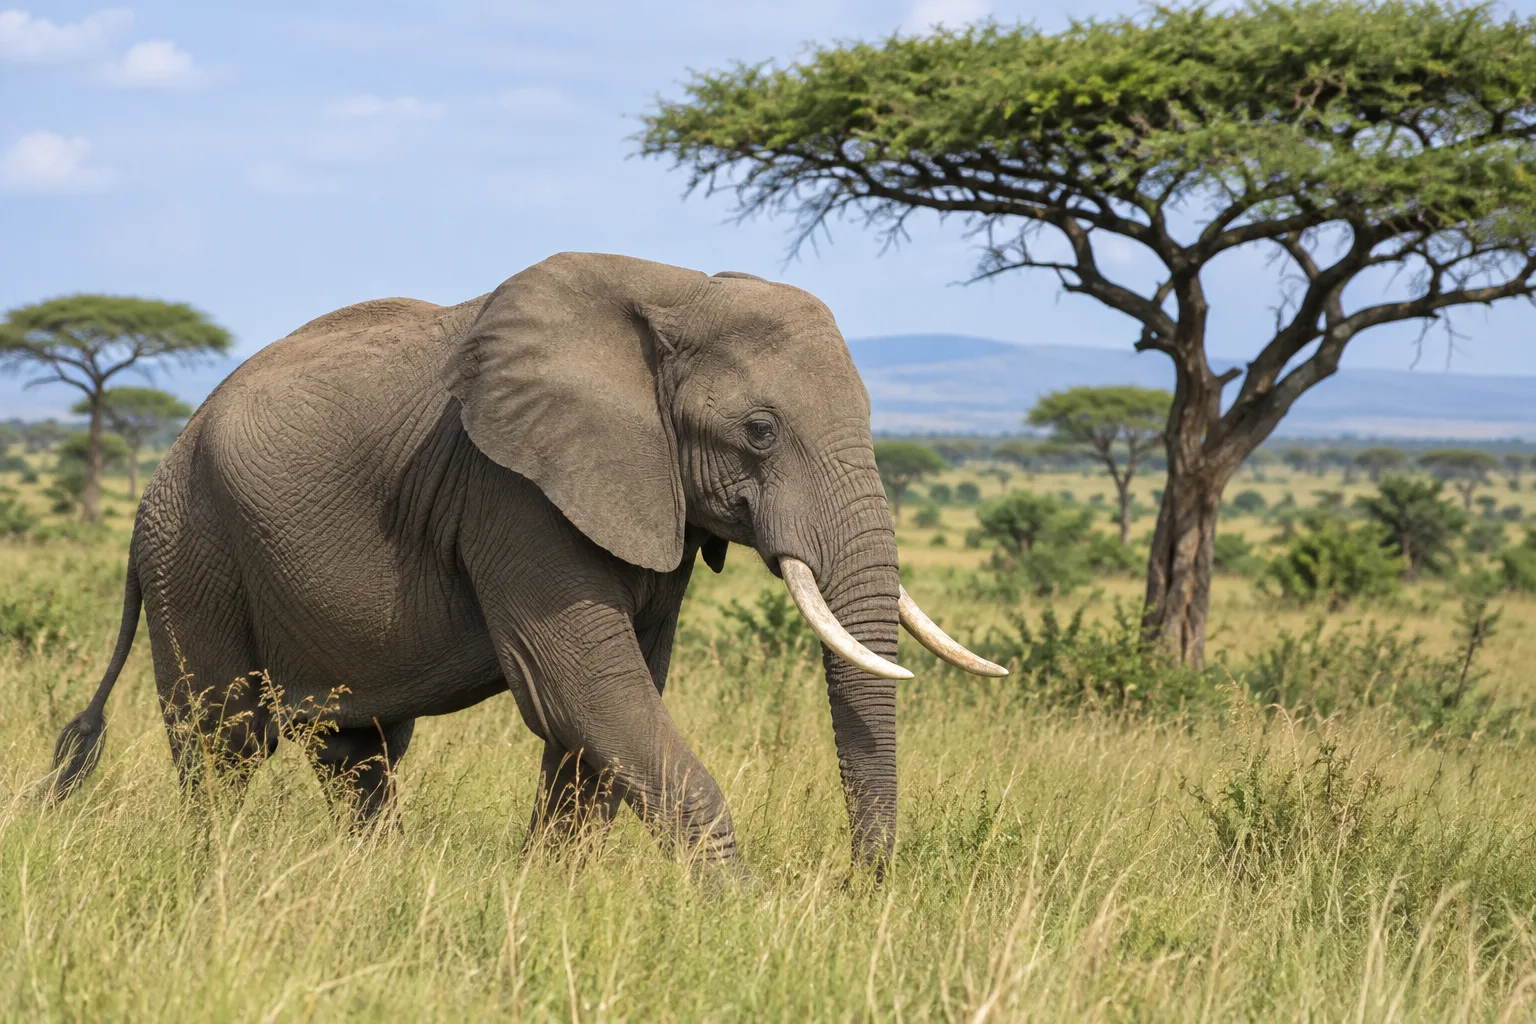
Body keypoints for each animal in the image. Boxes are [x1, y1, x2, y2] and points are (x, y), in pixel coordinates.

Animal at [48, 253, 1004, 873]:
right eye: (760, 430)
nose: (857, 889)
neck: (674, 295)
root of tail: (163, 464)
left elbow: (612, 700)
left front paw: (554, 893)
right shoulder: (511, 490)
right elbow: (583, 686)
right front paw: (736, 913)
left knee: (356, 749)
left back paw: (379, 880)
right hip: (192, 550)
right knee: (224, 740)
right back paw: (214, 870)